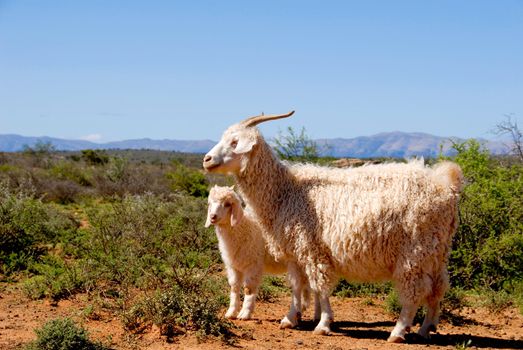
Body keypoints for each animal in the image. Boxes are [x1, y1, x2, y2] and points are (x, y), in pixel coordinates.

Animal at [203, 111, 464, 342]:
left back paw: (398, 332)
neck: (286, 191)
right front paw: (291, 318)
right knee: (438, 288)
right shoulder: (295, 254)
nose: (206, 160)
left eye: (234, 142)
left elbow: (321, 288)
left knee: (413, 292)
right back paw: (426, 328)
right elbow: (297, 287)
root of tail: (446, 185)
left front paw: (323, 323)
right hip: (437, 252)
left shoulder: (312, 249)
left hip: (414, 252)